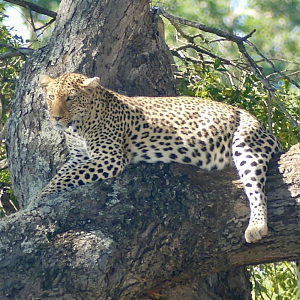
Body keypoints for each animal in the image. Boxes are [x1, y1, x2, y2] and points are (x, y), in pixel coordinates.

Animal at [38, 72, 280, 244]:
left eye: (70, 98)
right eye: (51, 97)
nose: (55, 117)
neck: (77, 128)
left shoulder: (109, 157)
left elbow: (65, 179)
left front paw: (39, 200)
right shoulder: (78, 158)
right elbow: (61, 176)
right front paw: (37, 197)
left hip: (246, 143)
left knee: (256, 188)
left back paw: (256, 226)